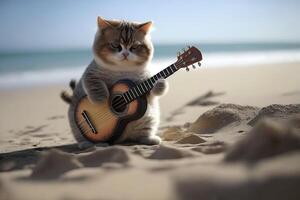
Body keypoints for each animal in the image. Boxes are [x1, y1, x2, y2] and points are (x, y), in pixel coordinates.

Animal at [61, 17, 168, 148]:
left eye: (134, 47)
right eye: (116, 45)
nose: (125, 53)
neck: (122, 70)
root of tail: (122, 139)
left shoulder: (145, 85)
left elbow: (153, 91)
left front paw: (160, 83)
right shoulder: (91, 74)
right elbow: (95, 86)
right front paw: (101, 100)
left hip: (149, 119)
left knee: (142, 135)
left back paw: (150, 139)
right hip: (76, 126)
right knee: (84, 139)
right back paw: (92, 144)